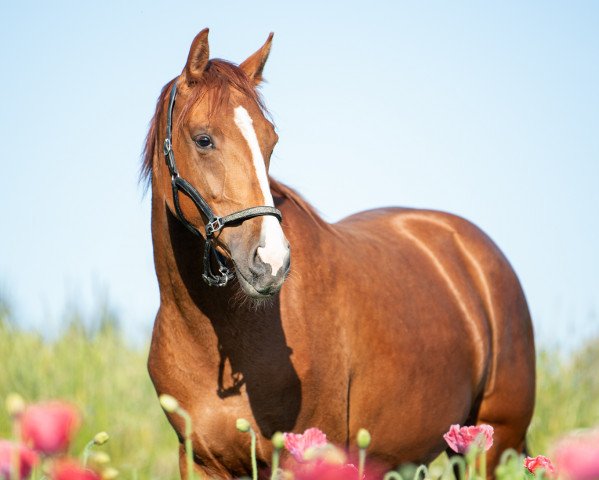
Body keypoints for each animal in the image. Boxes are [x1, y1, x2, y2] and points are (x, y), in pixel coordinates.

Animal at [143, 28, 536, 478]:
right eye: (203, 139)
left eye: (270, 140)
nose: (271, 262)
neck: (219, 335)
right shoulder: (199, 462)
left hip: (489, 446)